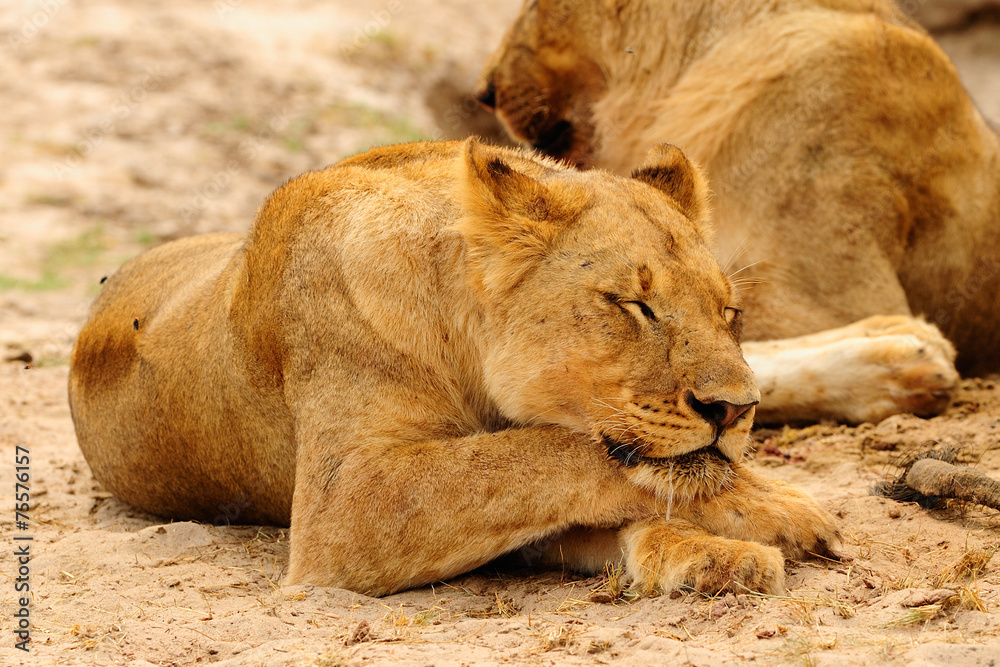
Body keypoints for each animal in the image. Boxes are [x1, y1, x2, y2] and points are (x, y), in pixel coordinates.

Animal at [69, 138, 839, 597]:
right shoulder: (345, 503)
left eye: (729, 312)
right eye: (634, 304)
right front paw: (775, 506)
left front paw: (718, 549)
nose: (736, 408)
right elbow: (541, 452)